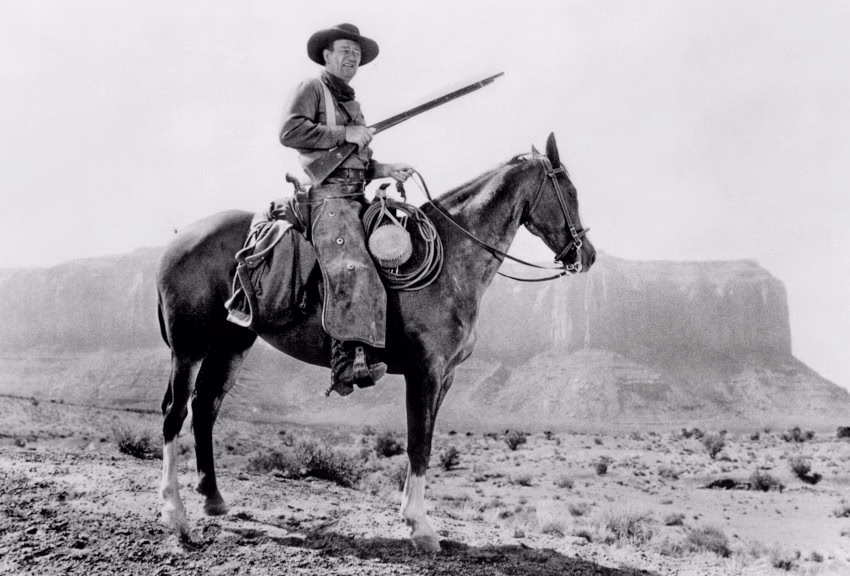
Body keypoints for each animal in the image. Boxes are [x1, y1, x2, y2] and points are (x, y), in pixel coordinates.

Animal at [156, 133, 596, 552]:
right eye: (570, 191)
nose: (587, 254)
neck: (453, 258)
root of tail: (176, 241)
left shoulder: (446, 376)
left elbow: (425, 441)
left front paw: (411, 516)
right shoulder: (425, 371)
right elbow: (418, 444)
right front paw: (421, 528)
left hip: (233, 342)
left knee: (205, 407)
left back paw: (213, 498)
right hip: (188, 346)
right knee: (175, 413)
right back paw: (175, 515)